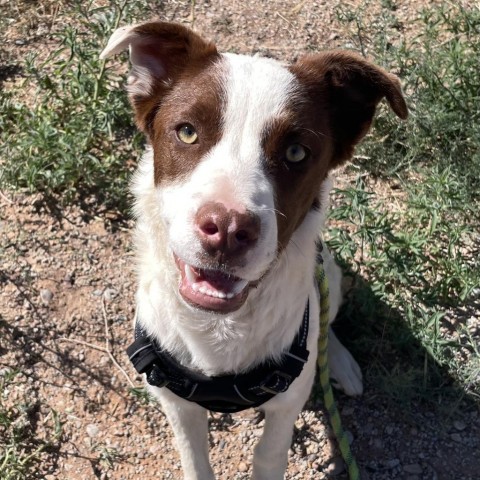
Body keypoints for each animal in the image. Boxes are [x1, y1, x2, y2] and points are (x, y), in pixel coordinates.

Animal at [100, 20, 404, 478]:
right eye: (186, 131)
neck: (220, 327)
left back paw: (340, 363)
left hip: (329, 272)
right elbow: (195, 458)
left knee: (327, 322)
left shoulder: (287, 401)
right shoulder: (176, 402)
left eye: (296, 152)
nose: (228, 229)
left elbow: (269, 453)